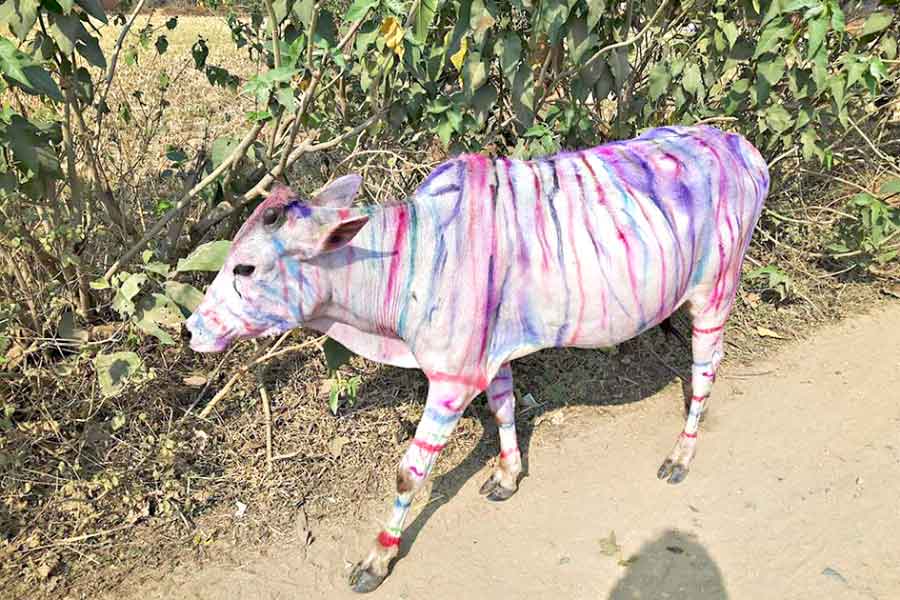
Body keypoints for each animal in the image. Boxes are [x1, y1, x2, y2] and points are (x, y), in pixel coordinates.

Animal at [186, 125, 768, 592]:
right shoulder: (493, 355)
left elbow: (410, 473)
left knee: (704, 370)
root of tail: (739, 146)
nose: (193, 328)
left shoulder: (452, 377)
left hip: (716, 290)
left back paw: (681, 455)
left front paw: (376, 560)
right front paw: (507, 475)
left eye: (245, 268)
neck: (408, 256)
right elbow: (504, 407)